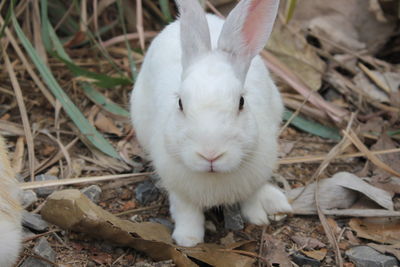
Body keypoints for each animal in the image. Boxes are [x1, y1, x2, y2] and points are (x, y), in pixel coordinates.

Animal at [131, 0, 290, 248]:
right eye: (180, 103)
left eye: (241, 102)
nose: (210, 155)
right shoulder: (179, 191)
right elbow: (187, 213)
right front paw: (188, 240)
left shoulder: (255, 177)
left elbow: (251, 198)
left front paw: (257, 218)